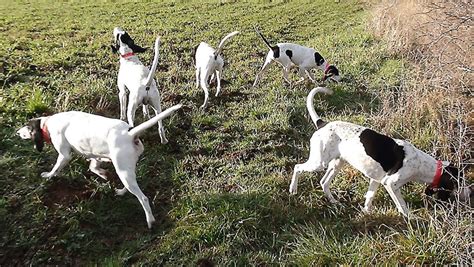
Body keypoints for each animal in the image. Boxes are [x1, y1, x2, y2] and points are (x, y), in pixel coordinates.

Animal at [17, 103, 183, 229]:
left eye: (27, 127)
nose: (17, 132)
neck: (48, 124)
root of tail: (129, 134)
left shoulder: (64, 155)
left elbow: (56, 168)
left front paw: (49, 175)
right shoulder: (93, 154)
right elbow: (94, 167)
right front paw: (103, 173)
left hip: (123, 171)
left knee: (143, 198)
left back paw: (150, 220)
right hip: (125, 170)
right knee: (130, 186)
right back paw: (121, 192)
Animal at [290, 88, 472, 218]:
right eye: (460, 182)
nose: (470, 193)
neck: (422, 165)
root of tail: (323, 124)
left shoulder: (376, 180)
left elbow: (369, 198)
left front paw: (366, 213)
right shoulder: (390, 184)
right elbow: (402, 206)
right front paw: (411, 219)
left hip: (336, 164)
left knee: (324, 182)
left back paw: (334, 202)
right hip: (318, 163)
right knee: (298, 167)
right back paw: (293, 189)